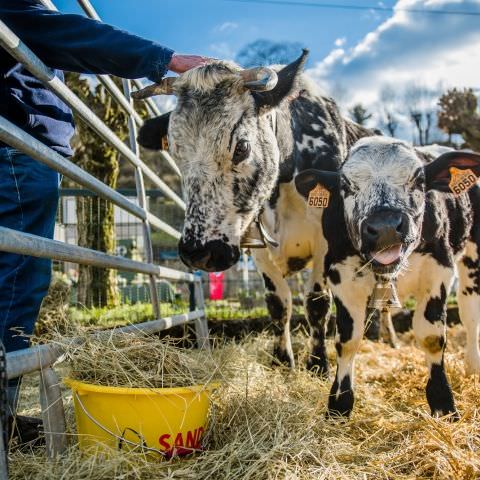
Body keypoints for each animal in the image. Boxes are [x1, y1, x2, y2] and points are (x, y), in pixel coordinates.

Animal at [135, 51, 376, 376]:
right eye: (174, 151)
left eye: (242, 147)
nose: (199, 252)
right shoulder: (256, 243)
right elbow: (278, 303)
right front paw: (282, 359)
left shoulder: (326, 242)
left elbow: (317, 303)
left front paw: (317, 363)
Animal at [296, 137, 480, 418]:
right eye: (346, 185)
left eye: (419, 179)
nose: (385, 227)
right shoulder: (339, 275)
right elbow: (347, 340)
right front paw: (339, 405)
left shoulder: (439, 268)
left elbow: (431, 337)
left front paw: (443, 404)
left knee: (470, 312)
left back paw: (472, 367)